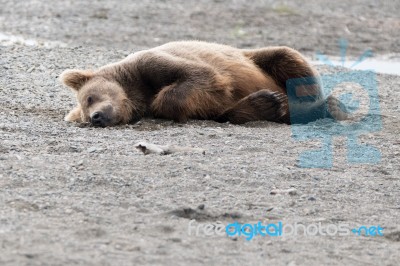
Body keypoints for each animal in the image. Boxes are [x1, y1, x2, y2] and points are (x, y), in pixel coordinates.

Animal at [61, 40, 346, 127]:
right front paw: (266, 103)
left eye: (89, 98)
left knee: (289, 60)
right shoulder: (201, 105)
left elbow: (198, 78)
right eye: (84, 114)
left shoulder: (153, 65)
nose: (96, 117)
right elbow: (215, 109)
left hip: (258, 58)